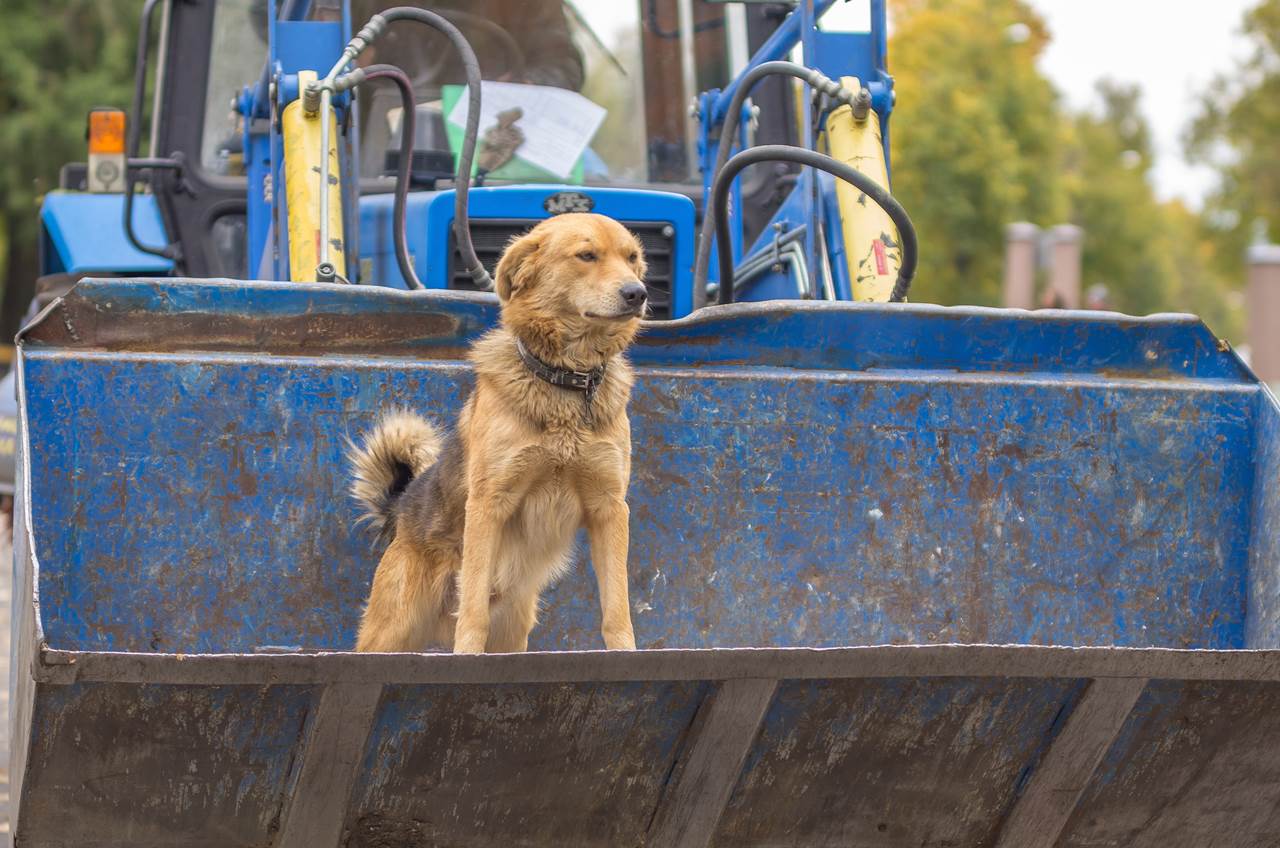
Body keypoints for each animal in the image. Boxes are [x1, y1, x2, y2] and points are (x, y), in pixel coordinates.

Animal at [348, 216, 645, 653]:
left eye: (632, 258)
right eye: (587, 255)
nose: (637, 293)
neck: (565, 382)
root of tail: (400, 508)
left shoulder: (608, 508)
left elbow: (617, 607)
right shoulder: (490, 504)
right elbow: (472, 609)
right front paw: (467, 655)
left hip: (514, 626)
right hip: (392, 629)